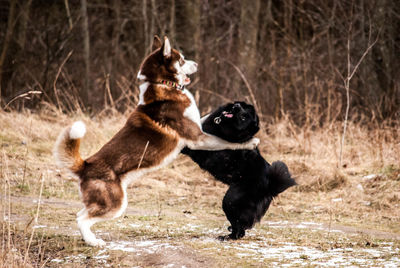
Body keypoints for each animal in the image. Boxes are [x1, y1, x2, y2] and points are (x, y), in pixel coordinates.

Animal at [54, 36, 260, 247]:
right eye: (182, 60)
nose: (196, 64)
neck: (164, 84)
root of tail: (85, 166)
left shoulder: (198, 127)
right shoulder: (197, 138)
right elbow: (226, 141)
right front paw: (250, 142)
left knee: (80, 213)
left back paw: (90, 239)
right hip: (115, 204)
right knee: (82, 218)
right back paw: (94, 242)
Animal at [181, 101, 296, 240]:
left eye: (243, 118)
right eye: (242, 107)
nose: (236, 107)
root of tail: (270, 186)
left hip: (230, 201)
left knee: (240, 228)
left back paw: (229, 237)